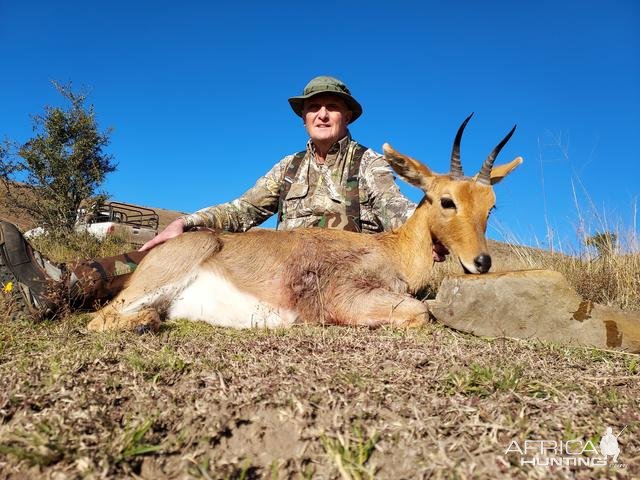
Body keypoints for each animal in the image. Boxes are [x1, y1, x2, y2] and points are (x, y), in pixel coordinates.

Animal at [87, 115, 524, 334]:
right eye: (447, 200)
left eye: (491, 207)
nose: (482, 262)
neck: (392, 251)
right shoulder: (346, 297)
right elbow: (422, 313)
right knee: (100, 320)